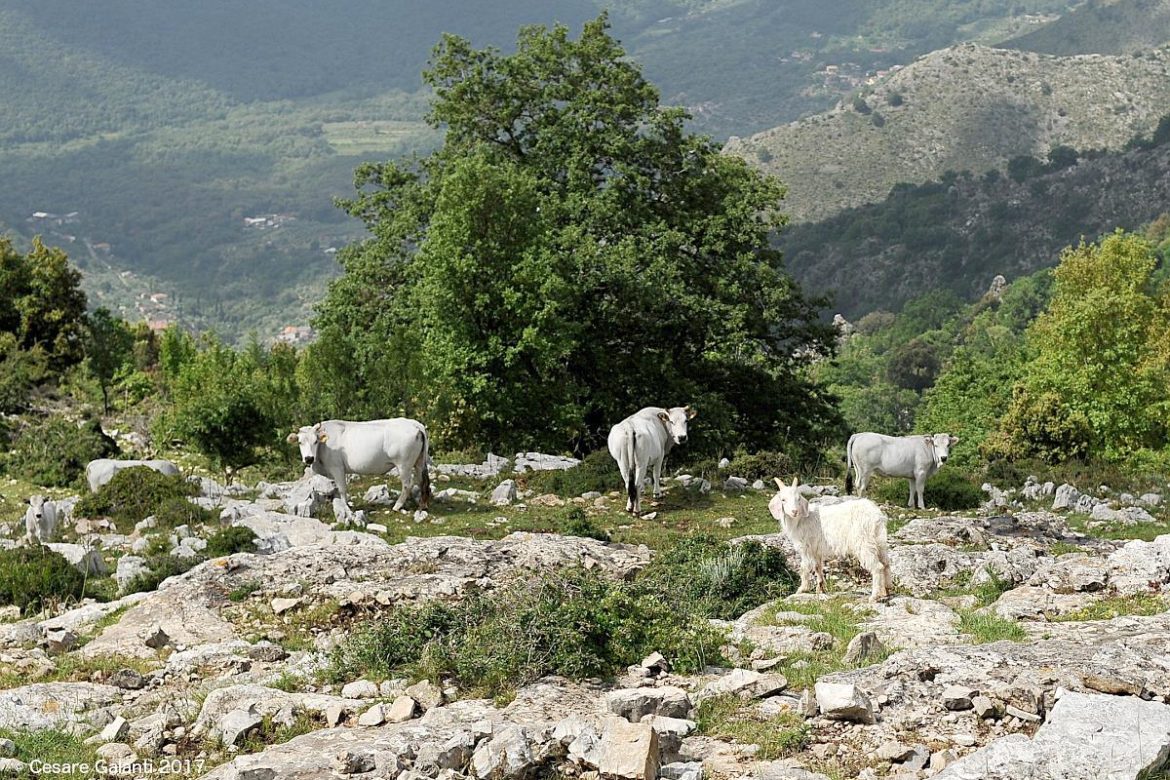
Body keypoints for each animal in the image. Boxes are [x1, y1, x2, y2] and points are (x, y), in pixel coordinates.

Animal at [286, 418, 430, 514]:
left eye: (315, 441)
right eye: (300, 442)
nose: (309, 458)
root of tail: (415, 425)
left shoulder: (337, 468)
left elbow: (342, 489)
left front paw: (345, 507)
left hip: (403, 464)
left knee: (408, 484)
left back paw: (397, 506)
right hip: (419, 461)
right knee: (423, 481)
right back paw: (423, 505)